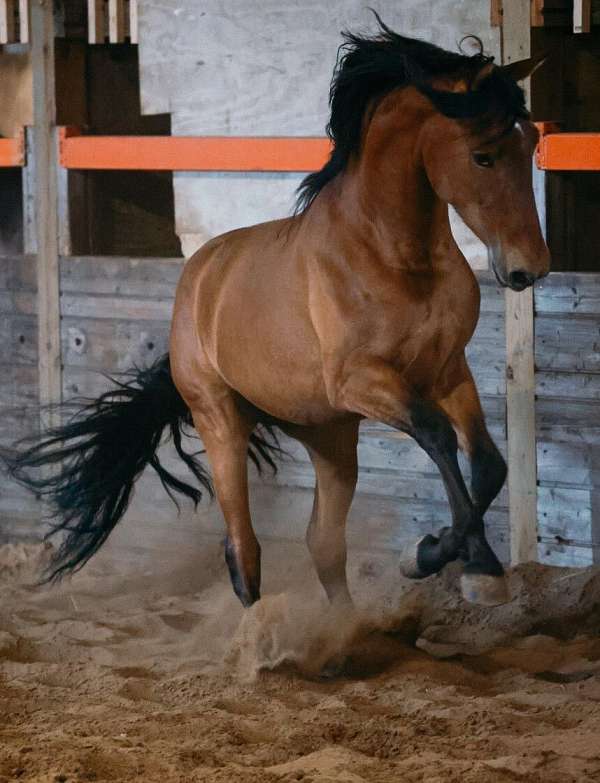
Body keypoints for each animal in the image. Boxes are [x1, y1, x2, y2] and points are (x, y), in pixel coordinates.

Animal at [6, 19, 550, 611]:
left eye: (531, 141)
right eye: (482, 155)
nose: (528, 268)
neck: (393, 254)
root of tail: (197, 282)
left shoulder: (447, 370)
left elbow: (489, 464)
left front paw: (462, 562)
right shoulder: (364, 381)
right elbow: (438, 436)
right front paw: (454, 560)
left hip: (330, 437)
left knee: (323, 543)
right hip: (221, 421)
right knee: (243, 547)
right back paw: (262, 628)